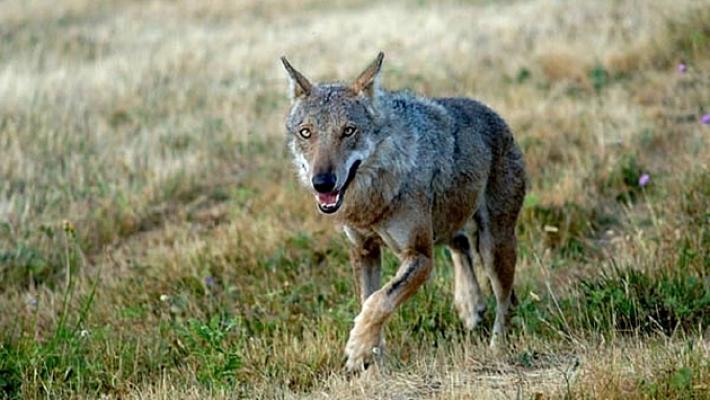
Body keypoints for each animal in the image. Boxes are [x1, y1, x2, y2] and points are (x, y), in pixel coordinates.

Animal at [280, 52, 526, 372]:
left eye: (348, 131)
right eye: (306, 133)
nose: (322, 182)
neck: (373, 200)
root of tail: (496, 116)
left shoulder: (420, 257)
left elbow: (379, 301)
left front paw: (358, 348)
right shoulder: (364, 250)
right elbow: (369, 300)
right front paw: (371, 358)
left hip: (493, 246)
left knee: (505, 299)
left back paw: (497, 347)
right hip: (446, 227)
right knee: (460, 244)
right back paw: (470, 306)